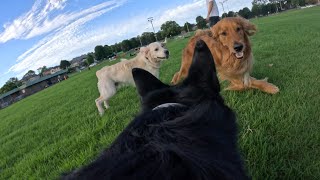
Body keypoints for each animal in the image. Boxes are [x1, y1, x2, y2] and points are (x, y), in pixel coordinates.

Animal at [62, 40, 248, 179]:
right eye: (156, 49)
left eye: (163, 46)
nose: (167, 52)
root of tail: (99, 72)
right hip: (110, 90)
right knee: (97, 100)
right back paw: (102, 112)